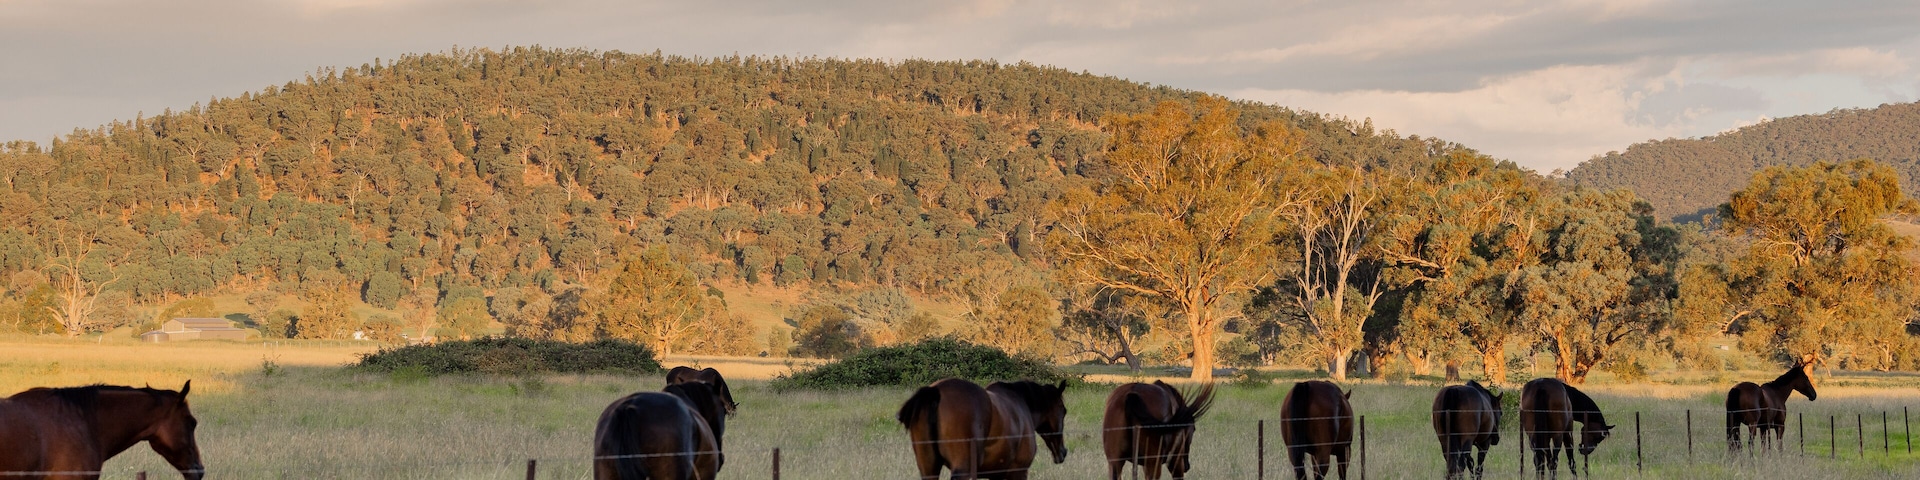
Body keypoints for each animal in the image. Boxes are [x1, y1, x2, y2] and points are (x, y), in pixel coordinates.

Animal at [897, 378, 1069, 480]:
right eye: (1063, 410)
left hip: (928, 469)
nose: (1063, 452)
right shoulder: (1018, 471)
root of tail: (935, 391)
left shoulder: (994, 474)